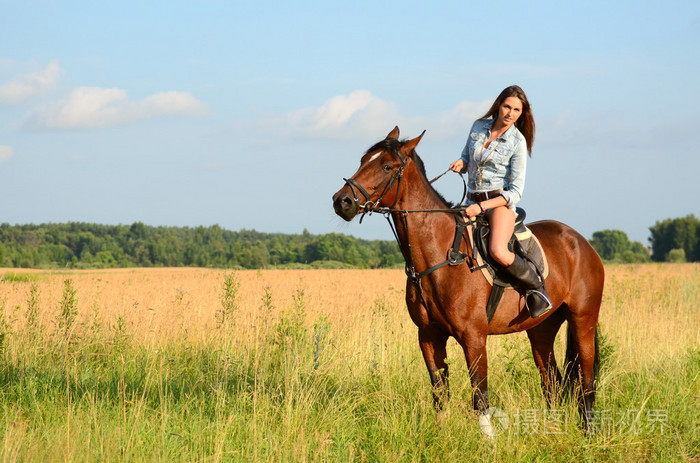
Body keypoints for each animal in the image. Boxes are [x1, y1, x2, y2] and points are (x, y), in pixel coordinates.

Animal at [330, 127, 604, 436]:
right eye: (363, 160)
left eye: (387, 166)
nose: (342, 201)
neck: (442, 255)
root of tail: (581, 241)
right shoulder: (428, 336)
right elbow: (439, 391)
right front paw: (440, 434)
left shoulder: (473, 337)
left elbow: (479, 394)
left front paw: (488, 440)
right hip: (541, 327)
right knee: (552, 381)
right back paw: (549, 429)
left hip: (583, 319)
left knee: (587, 378)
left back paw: (589, 432)